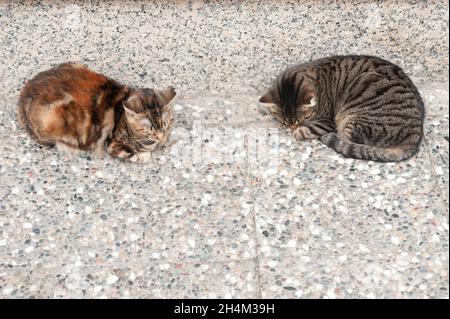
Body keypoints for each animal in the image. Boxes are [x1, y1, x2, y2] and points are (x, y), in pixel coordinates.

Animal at [18, 62, 176, 164]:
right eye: (149, 130)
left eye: (166, 125)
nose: (161, 137)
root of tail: (24, 92)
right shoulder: (112, 144)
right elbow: (133, 154)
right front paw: (144, 155)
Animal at [260, 54, 426, 162]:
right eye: (284, 122)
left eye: (305, 118)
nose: (293, 127)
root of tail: (414, 139)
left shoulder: (327, 120)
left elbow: (310, 128)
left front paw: (299, 132)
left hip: (356, 115)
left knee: (344, 140)